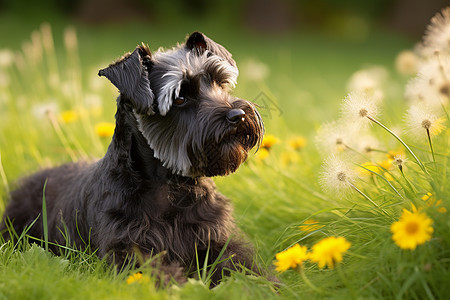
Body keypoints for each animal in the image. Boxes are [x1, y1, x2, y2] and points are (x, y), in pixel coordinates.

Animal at [0, 31, 264, 284]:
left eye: (220, 82)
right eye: (179, 97)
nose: (237, 115)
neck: (170, 186)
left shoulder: (217, 241)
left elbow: (244, 270)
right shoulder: (129, 250)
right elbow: (160, 273)